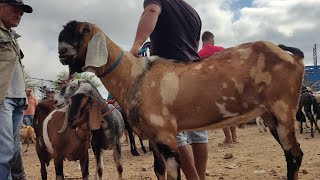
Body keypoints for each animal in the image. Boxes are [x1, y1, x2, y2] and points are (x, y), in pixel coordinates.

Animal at [58, 20, 304, 180]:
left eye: (84, 30)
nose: (61, 50)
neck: (135, 76)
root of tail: (290, 54)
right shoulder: (154, 138)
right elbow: (158, 171)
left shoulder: (167, 137)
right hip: (269, 115)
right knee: (290, 154)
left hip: (283, 109)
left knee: (295, 154)